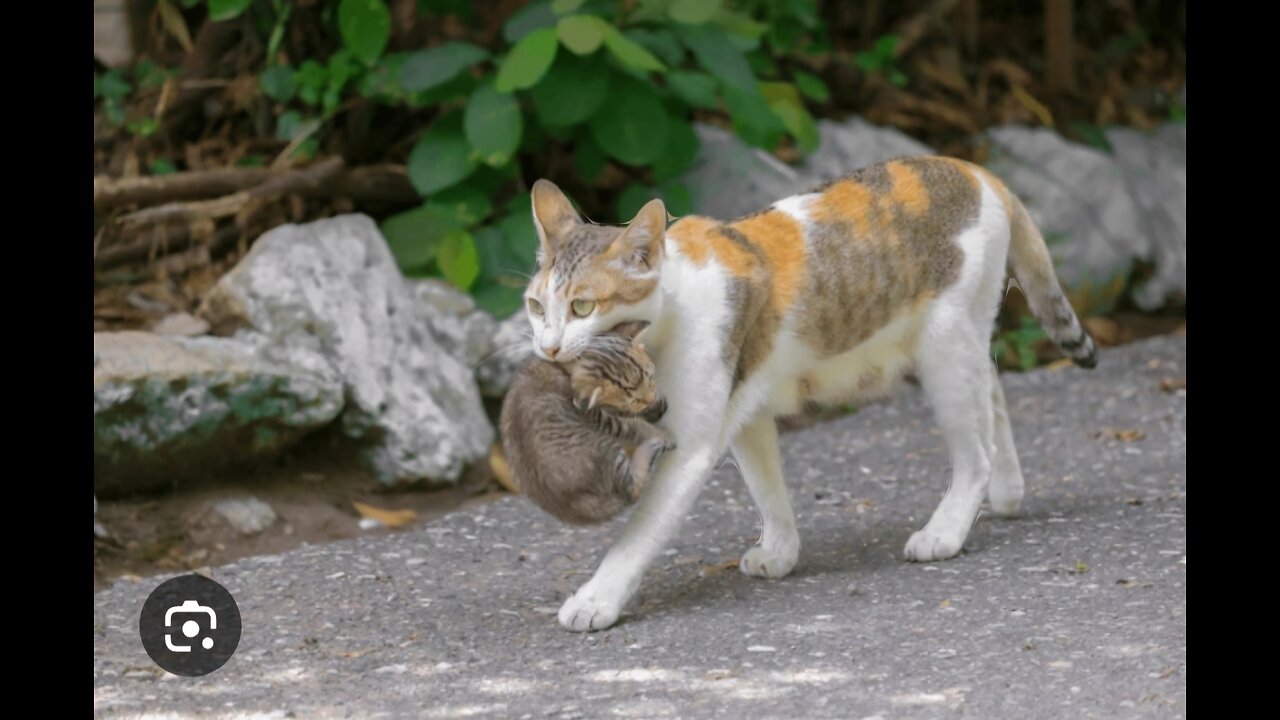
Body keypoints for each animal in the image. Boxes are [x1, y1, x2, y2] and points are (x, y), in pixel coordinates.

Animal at [496, 322, 675, 525]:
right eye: (634, 400)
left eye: (651, 379)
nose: (651, 401)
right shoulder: (597, 416)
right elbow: (632, 424)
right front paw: (660, 433)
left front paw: (657, 406)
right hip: (606, 448)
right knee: (631, 492)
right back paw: (651, 448)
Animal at [522, 156, 1100, 627]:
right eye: (535, 306)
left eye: (582, 307)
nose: (548, 347)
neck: (671, 311)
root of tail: (977, 170)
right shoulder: (745, 410)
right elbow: (766, 486)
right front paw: (781, 550)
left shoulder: (690, 444)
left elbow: (639, 532)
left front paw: (596, 599)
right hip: (963, 339)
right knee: (993, 394)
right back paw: (1007, 490)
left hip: (943, 346)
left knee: (975, 449)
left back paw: (949, 529)